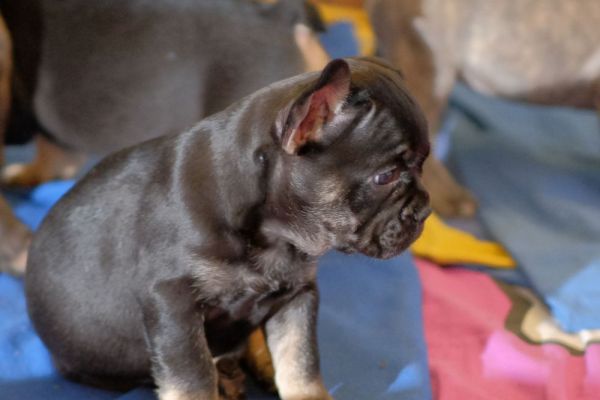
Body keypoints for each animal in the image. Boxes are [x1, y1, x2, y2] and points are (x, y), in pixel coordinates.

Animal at [25, 57, 431, 400]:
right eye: (385, 176)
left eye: (424, 164)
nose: (425, 209)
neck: (275, 235)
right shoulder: (173, 302)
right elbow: (192, 377)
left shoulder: (298, 294)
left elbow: (301, 362)